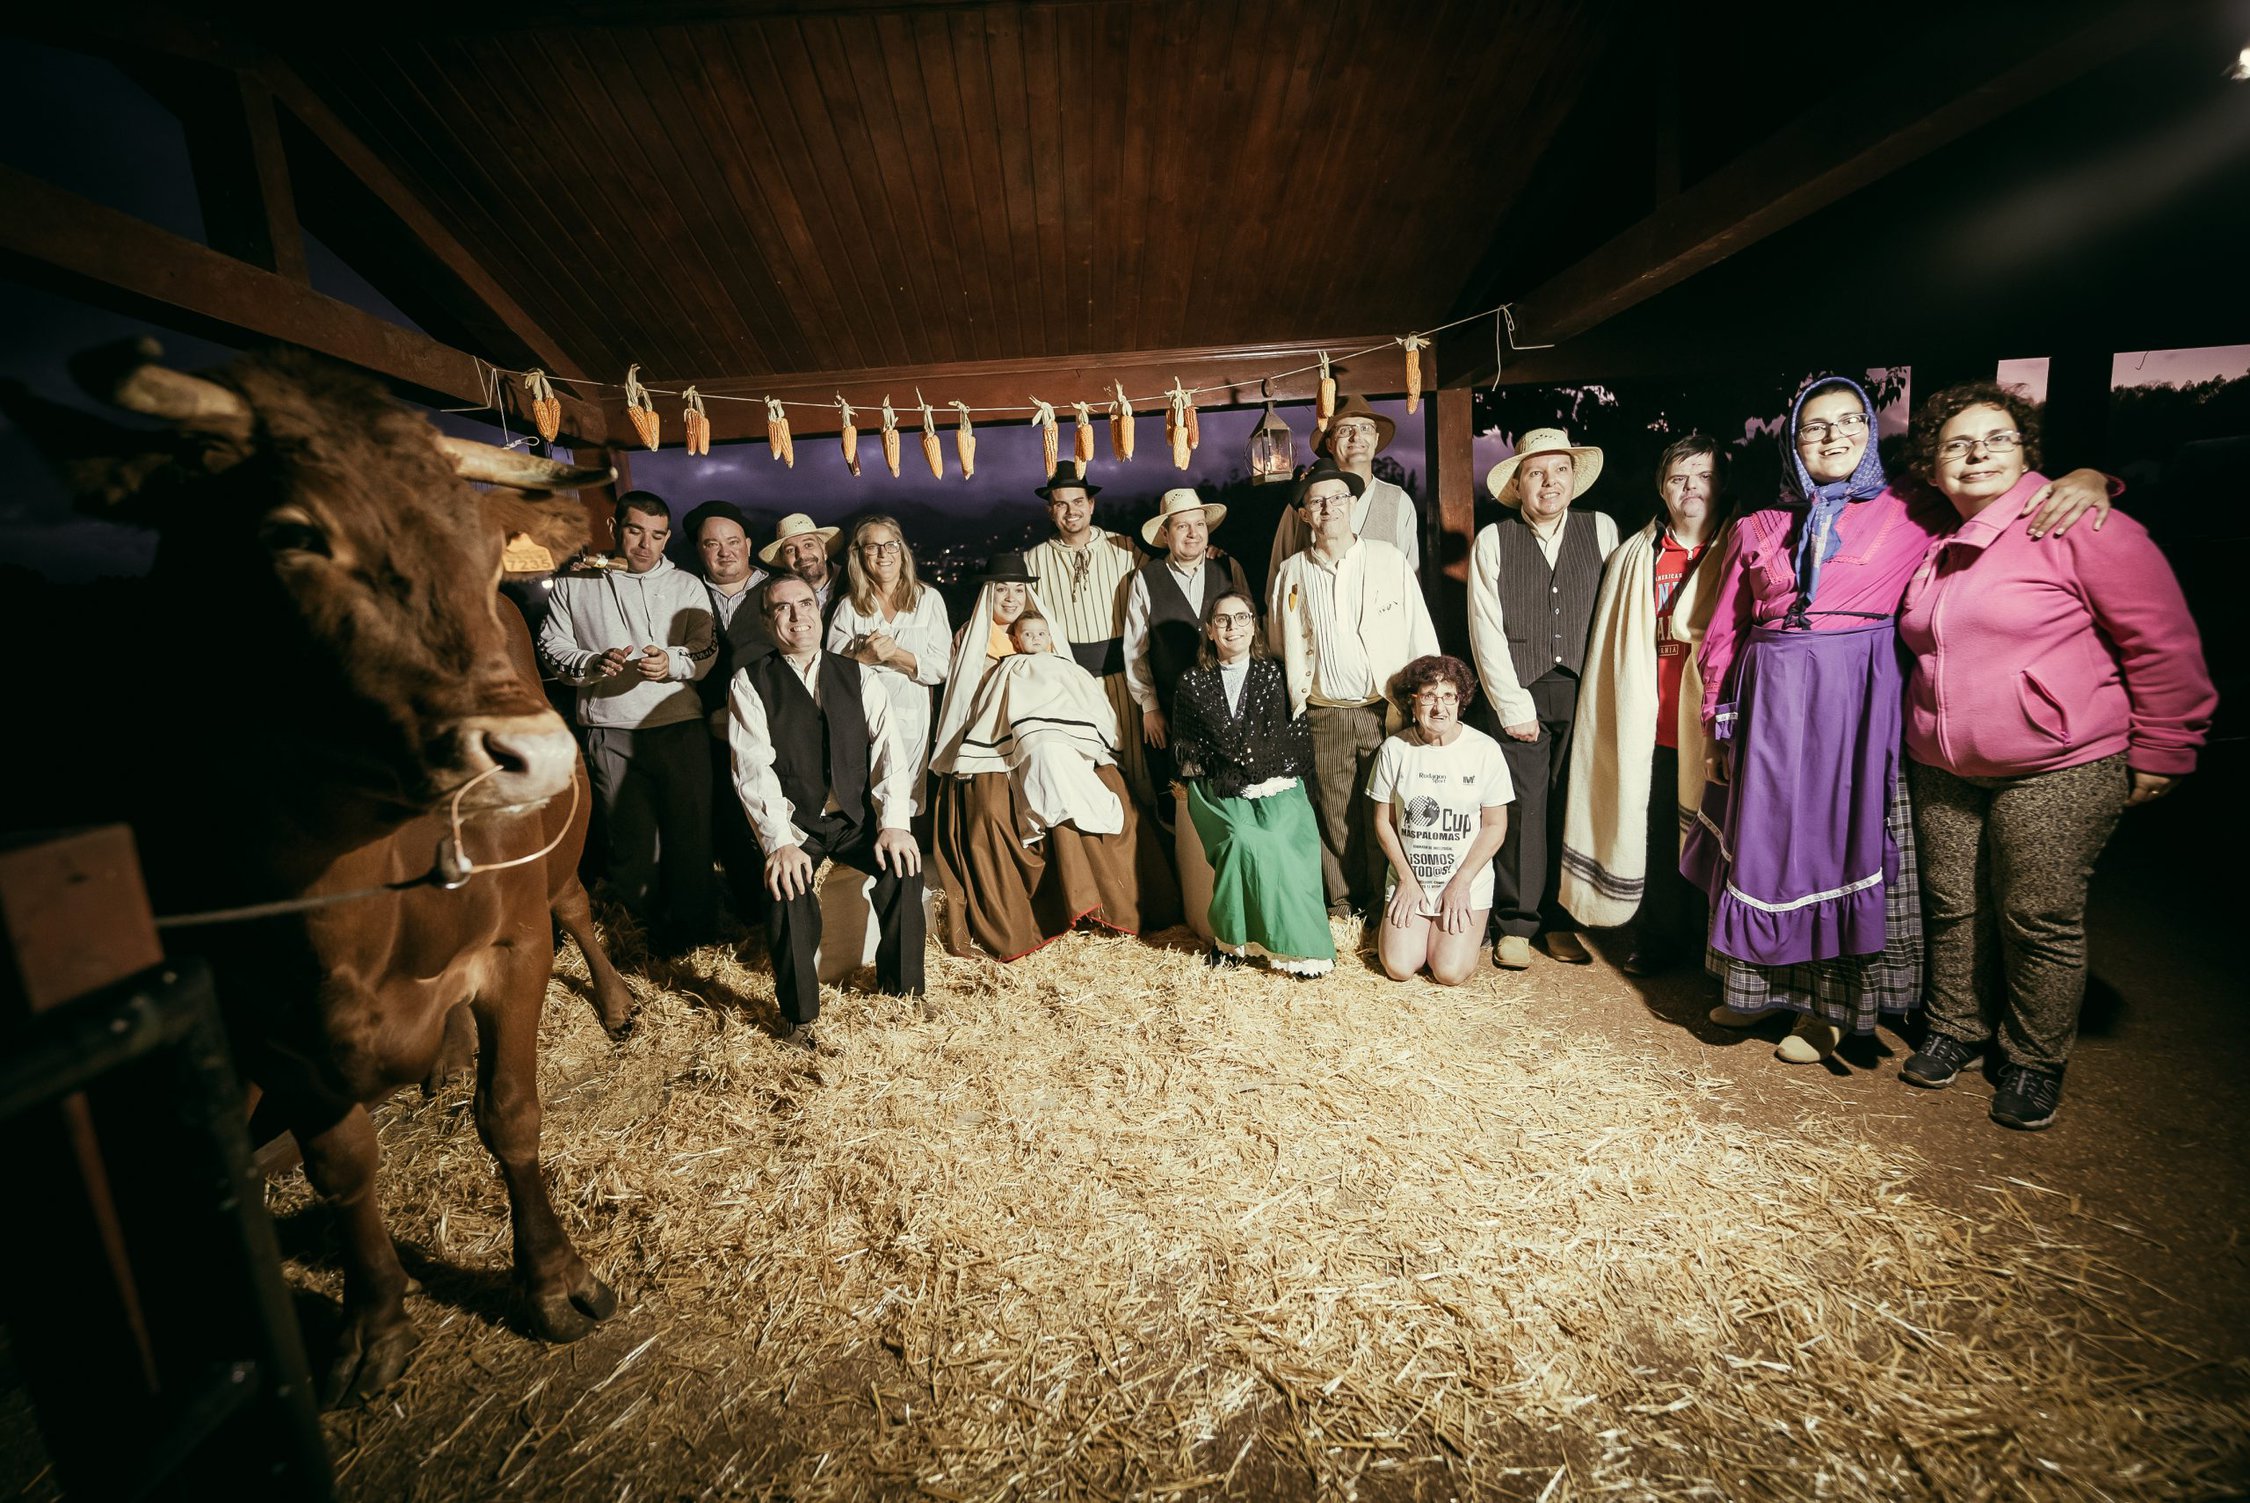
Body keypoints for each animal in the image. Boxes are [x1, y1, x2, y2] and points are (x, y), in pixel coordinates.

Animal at [28, 346, 634, 1404]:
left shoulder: (514, 947)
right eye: (291, 534)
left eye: (489, 556)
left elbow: (512, 1114)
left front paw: (556, 1282)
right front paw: (373, 1326)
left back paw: (613, 1001)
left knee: (576, 906)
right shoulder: (266, 1026)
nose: (533, 755)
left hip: (555, 866)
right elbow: (342, 1166)